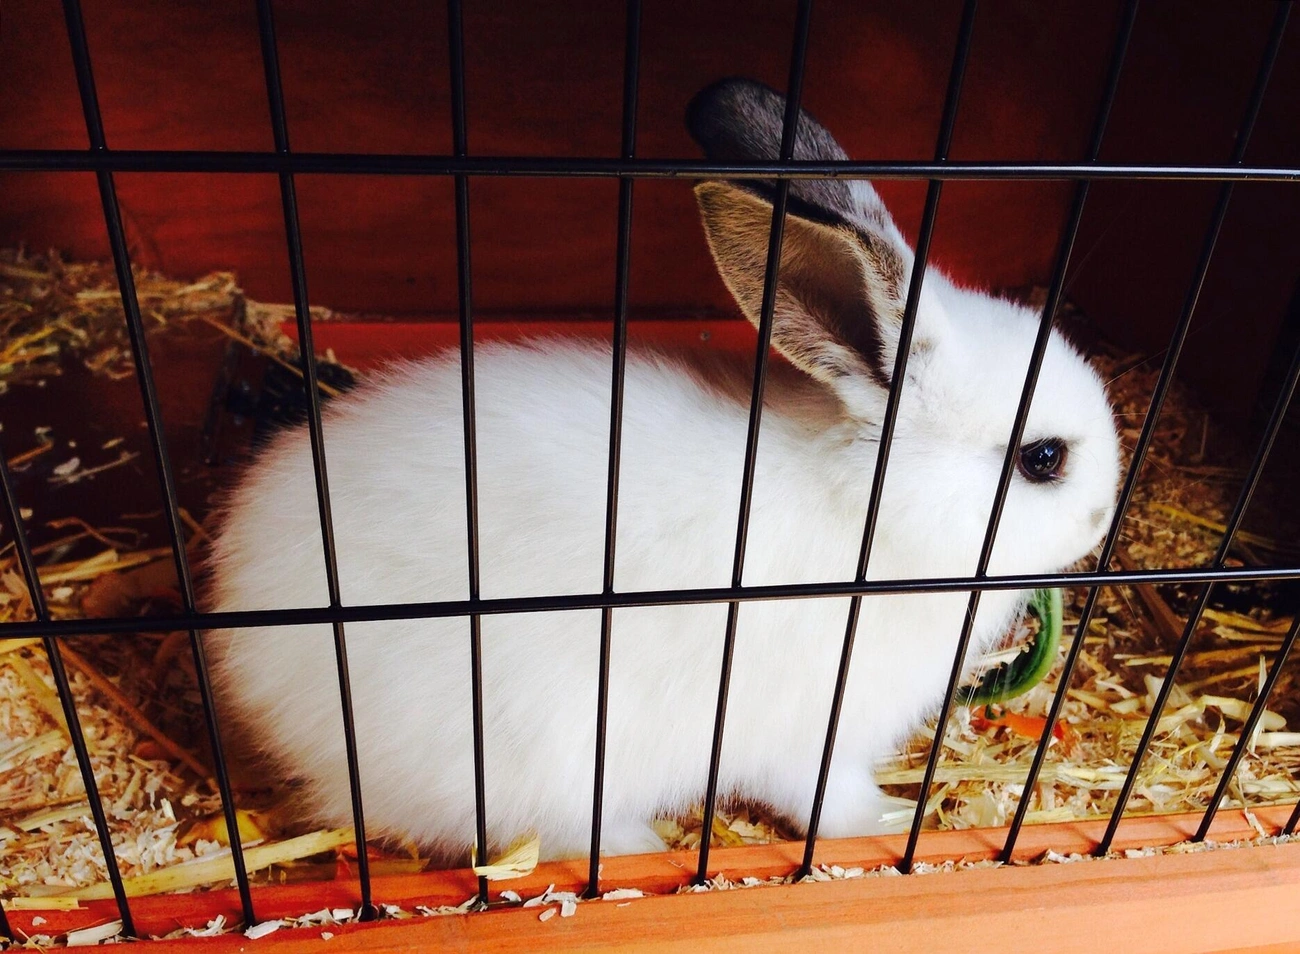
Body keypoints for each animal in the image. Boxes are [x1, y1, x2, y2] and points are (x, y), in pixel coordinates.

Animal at [205, 77, 1119, 863]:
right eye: (1044, 459)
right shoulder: (808, 727)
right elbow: (823, 796)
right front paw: (890, 819)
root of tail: (244, 648)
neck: (874, 517)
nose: (1104, 515)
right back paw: (639, 846)